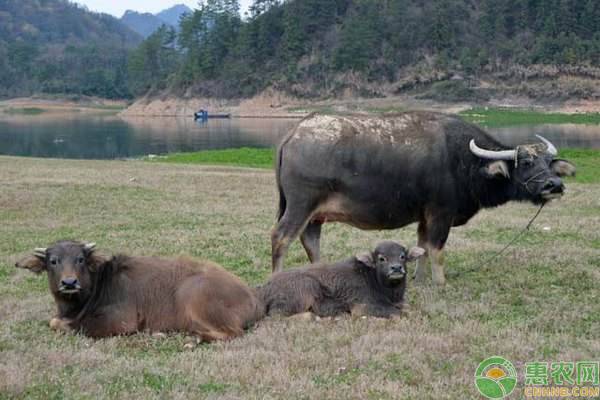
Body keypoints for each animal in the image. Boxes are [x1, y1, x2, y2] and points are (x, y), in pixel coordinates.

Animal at [15, 239, 264, 342]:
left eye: (80, 259)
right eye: (53, 261)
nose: (69, 283)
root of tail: (254, 299)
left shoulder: (121, 322)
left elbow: (62, 324)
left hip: (193, 295)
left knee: (233, 333)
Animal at [256, 241, 422, 318]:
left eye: (402, 256)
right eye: (382, 258)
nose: (396, 268)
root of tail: (265, 288)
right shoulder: (361, 306)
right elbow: (398, 313)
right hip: (306, 289)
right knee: (276, 316)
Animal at [272, 110, 576, 284]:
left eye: (549, 163)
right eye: (525, 162)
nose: (554, 185)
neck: (462, 160)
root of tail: (293, 133)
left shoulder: (424, 216)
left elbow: (422, 247)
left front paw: (418, 279)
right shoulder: (441, 212)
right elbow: (437, 249)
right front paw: (440, 283)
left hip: (314, 215)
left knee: (310, 240)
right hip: (300, 206)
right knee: (281, 237)